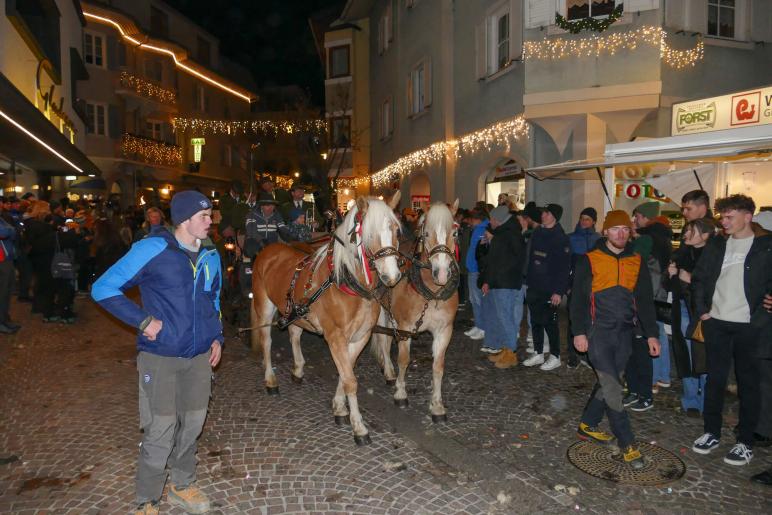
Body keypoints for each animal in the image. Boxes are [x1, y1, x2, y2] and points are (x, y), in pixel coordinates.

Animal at [250, 191, 404, 446]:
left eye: (394, 230)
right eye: (369, 234)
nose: (392, 276)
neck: (348, 284)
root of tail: (269, 249)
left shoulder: (360, 337)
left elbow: (346, 372)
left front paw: (339, 407)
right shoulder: (335, 337)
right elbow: (350, 379)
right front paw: (359, 427)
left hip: (296, 312)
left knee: (294, 334)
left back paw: (298, 370)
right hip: (264, 305)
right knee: (266, 342)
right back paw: (271, 380)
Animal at [370, 202, 458, 424]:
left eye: (455, 231)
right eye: (426, 233)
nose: (441, 273)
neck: (432, 294)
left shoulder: (444, 330)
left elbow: (438, 366)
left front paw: (437, 406)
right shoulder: (405, 328)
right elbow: (404, 360)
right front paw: (401, 394)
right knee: (383, 340)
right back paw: (390, 372)